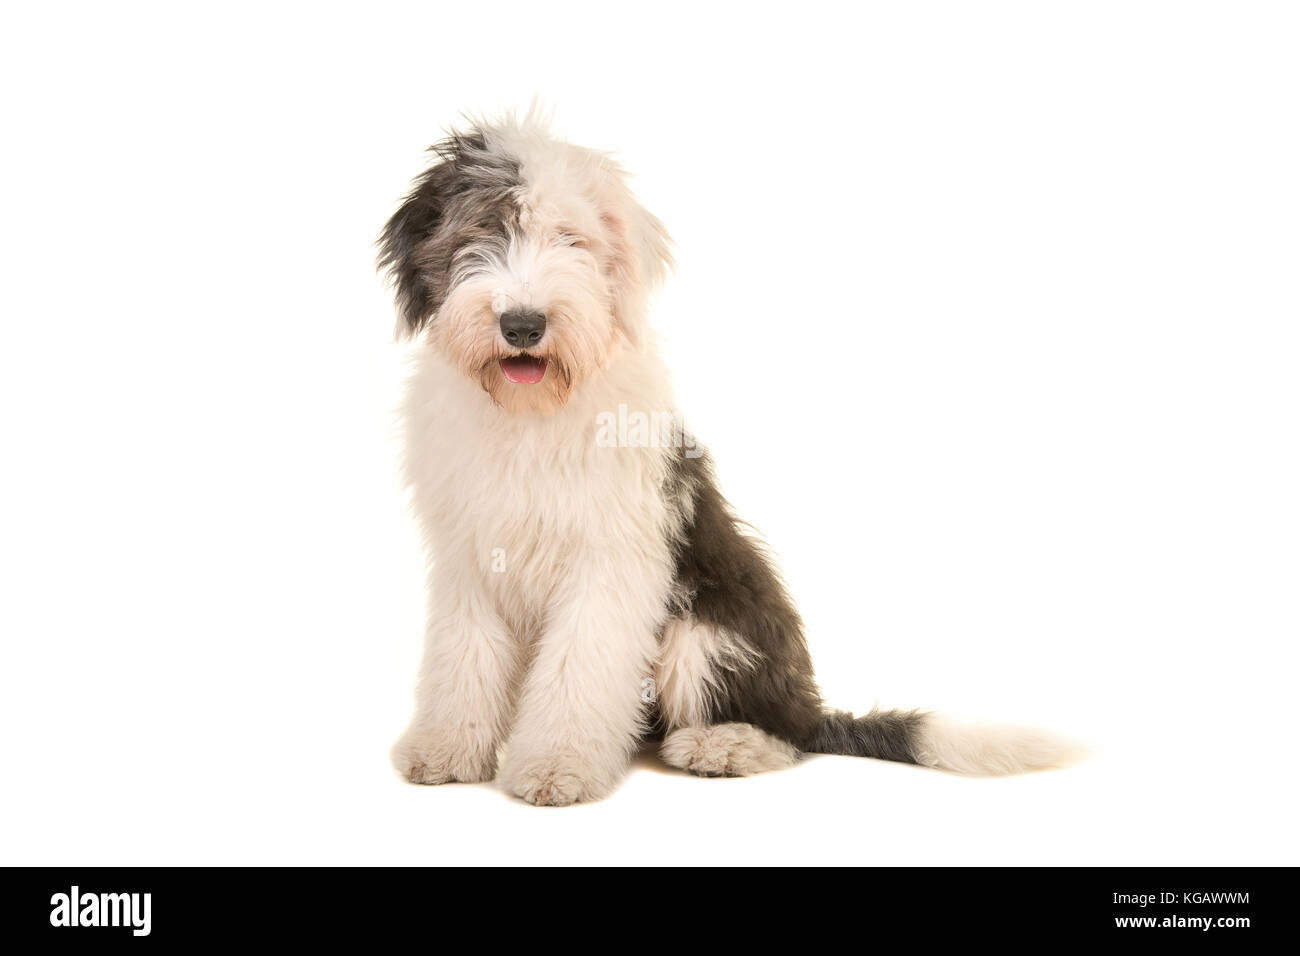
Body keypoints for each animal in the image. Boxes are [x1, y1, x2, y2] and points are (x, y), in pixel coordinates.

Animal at [379, 113, 1081, 806]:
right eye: (482, 230)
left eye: (570, 240)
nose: (523, 325)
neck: (530, 417)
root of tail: (807, 704)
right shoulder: (470, 558)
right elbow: (462, 659)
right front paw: (445, 750)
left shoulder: (609, 559)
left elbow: (579, 662)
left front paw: (558, 764)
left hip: (710, 628)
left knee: (785, 734)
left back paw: (724, 745)